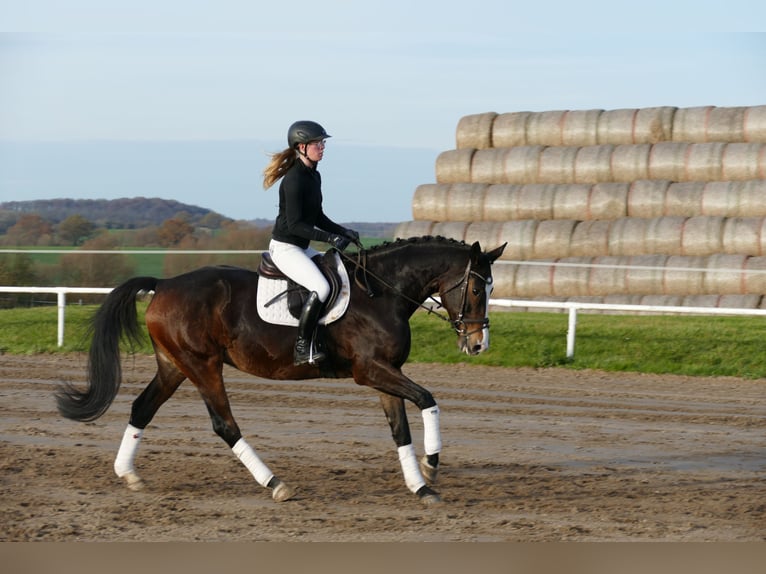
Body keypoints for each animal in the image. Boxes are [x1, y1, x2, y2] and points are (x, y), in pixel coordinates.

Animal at [56, 236, 506, 505]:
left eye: (491, 287)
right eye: (475, 287)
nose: (478, 344)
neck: (380, 292)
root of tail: (164, 285)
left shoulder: (385, 373)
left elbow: (400, 430)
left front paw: (420, 485)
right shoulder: (371, 370)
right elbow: (429, 400)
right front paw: (432, 464)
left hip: (174, 365)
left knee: (142, 409)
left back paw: (128, 475)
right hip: (203, 365)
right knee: (224, 424)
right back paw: (276, 485)